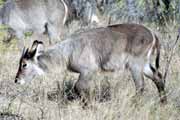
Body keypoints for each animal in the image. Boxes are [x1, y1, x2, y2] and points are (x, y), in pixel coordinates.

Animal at [14, 23, 167, 103]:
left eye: (24, 64)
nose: (16, 80)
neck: (68, 51)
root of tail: (153, 34)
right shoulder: (88, 74)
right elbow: (84, 88)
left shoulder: (88, 71)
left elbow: (78, 87)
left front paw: (89, 104)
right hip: (144, 65)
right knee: (158, 77)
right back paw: (163, 103)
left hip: (135, 65)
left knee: (140, 86)